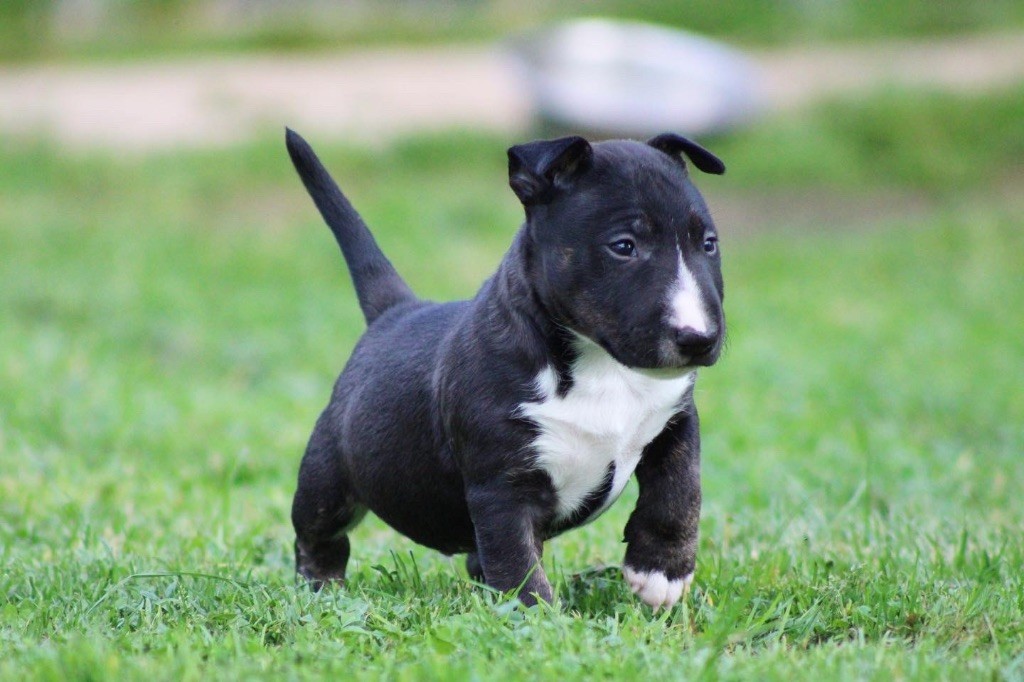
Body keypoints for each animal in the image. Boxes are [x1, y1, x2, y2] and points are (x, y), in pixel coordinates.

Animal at [284, 127, 724, 606]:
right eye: (623, 246)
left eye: (709, 243)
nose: (699, 339)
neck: (600, 364)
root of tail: (397, 311)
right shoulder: (502, 481)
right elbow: (514, 554)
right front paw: (535, 615)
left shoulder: (677, 417)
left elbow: (681, 488)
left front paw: (661, 571)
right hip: (327, 474)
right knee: (318, 531)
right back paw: (322, 585)